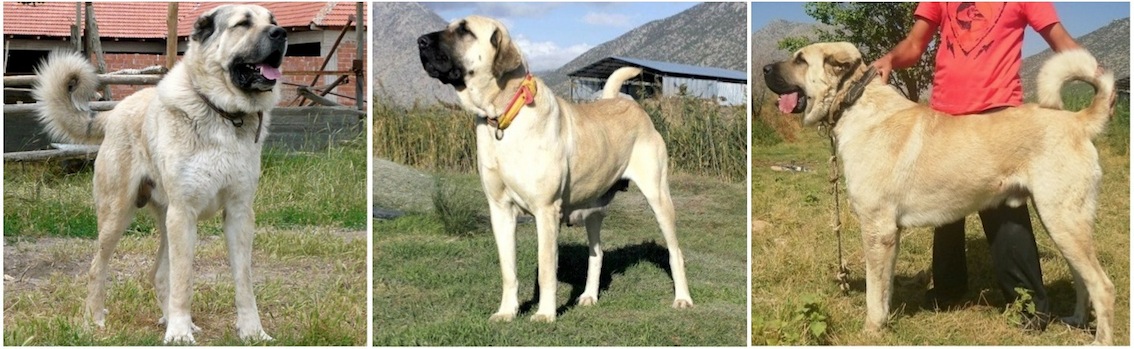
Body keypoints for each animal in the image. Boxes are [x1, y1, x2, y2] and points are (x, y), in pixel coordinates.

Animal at [34, 4, 285, 344]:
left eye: (273, 21)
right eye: (243, 23)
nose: (281, 34)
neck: (222, 113)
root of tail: (114, 112)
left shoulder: (239, 214)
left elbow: (243, 282)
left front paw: (252, 331)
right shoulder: (184, 213)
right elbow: (184, 281)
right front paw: (178, 333)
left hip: (165, 221)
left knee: (158, 273)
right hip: (118, 217)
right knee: (97, 268)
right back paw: (94, 319)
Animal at [417, 16, 689, 321]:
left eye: (465, 30)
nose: (420, 41)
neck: (505, 116)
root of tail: (629, 104)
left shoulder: (545, 210)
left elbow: (546, 268)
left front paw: (545, 314)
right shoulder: (500, 210)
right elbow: (508, 269)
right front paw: (507, 311)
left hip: (658, 197)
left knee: (675, 252)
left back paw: (682, 298)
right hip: (594, 208)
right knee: (597, 253)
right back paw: (589, 296)